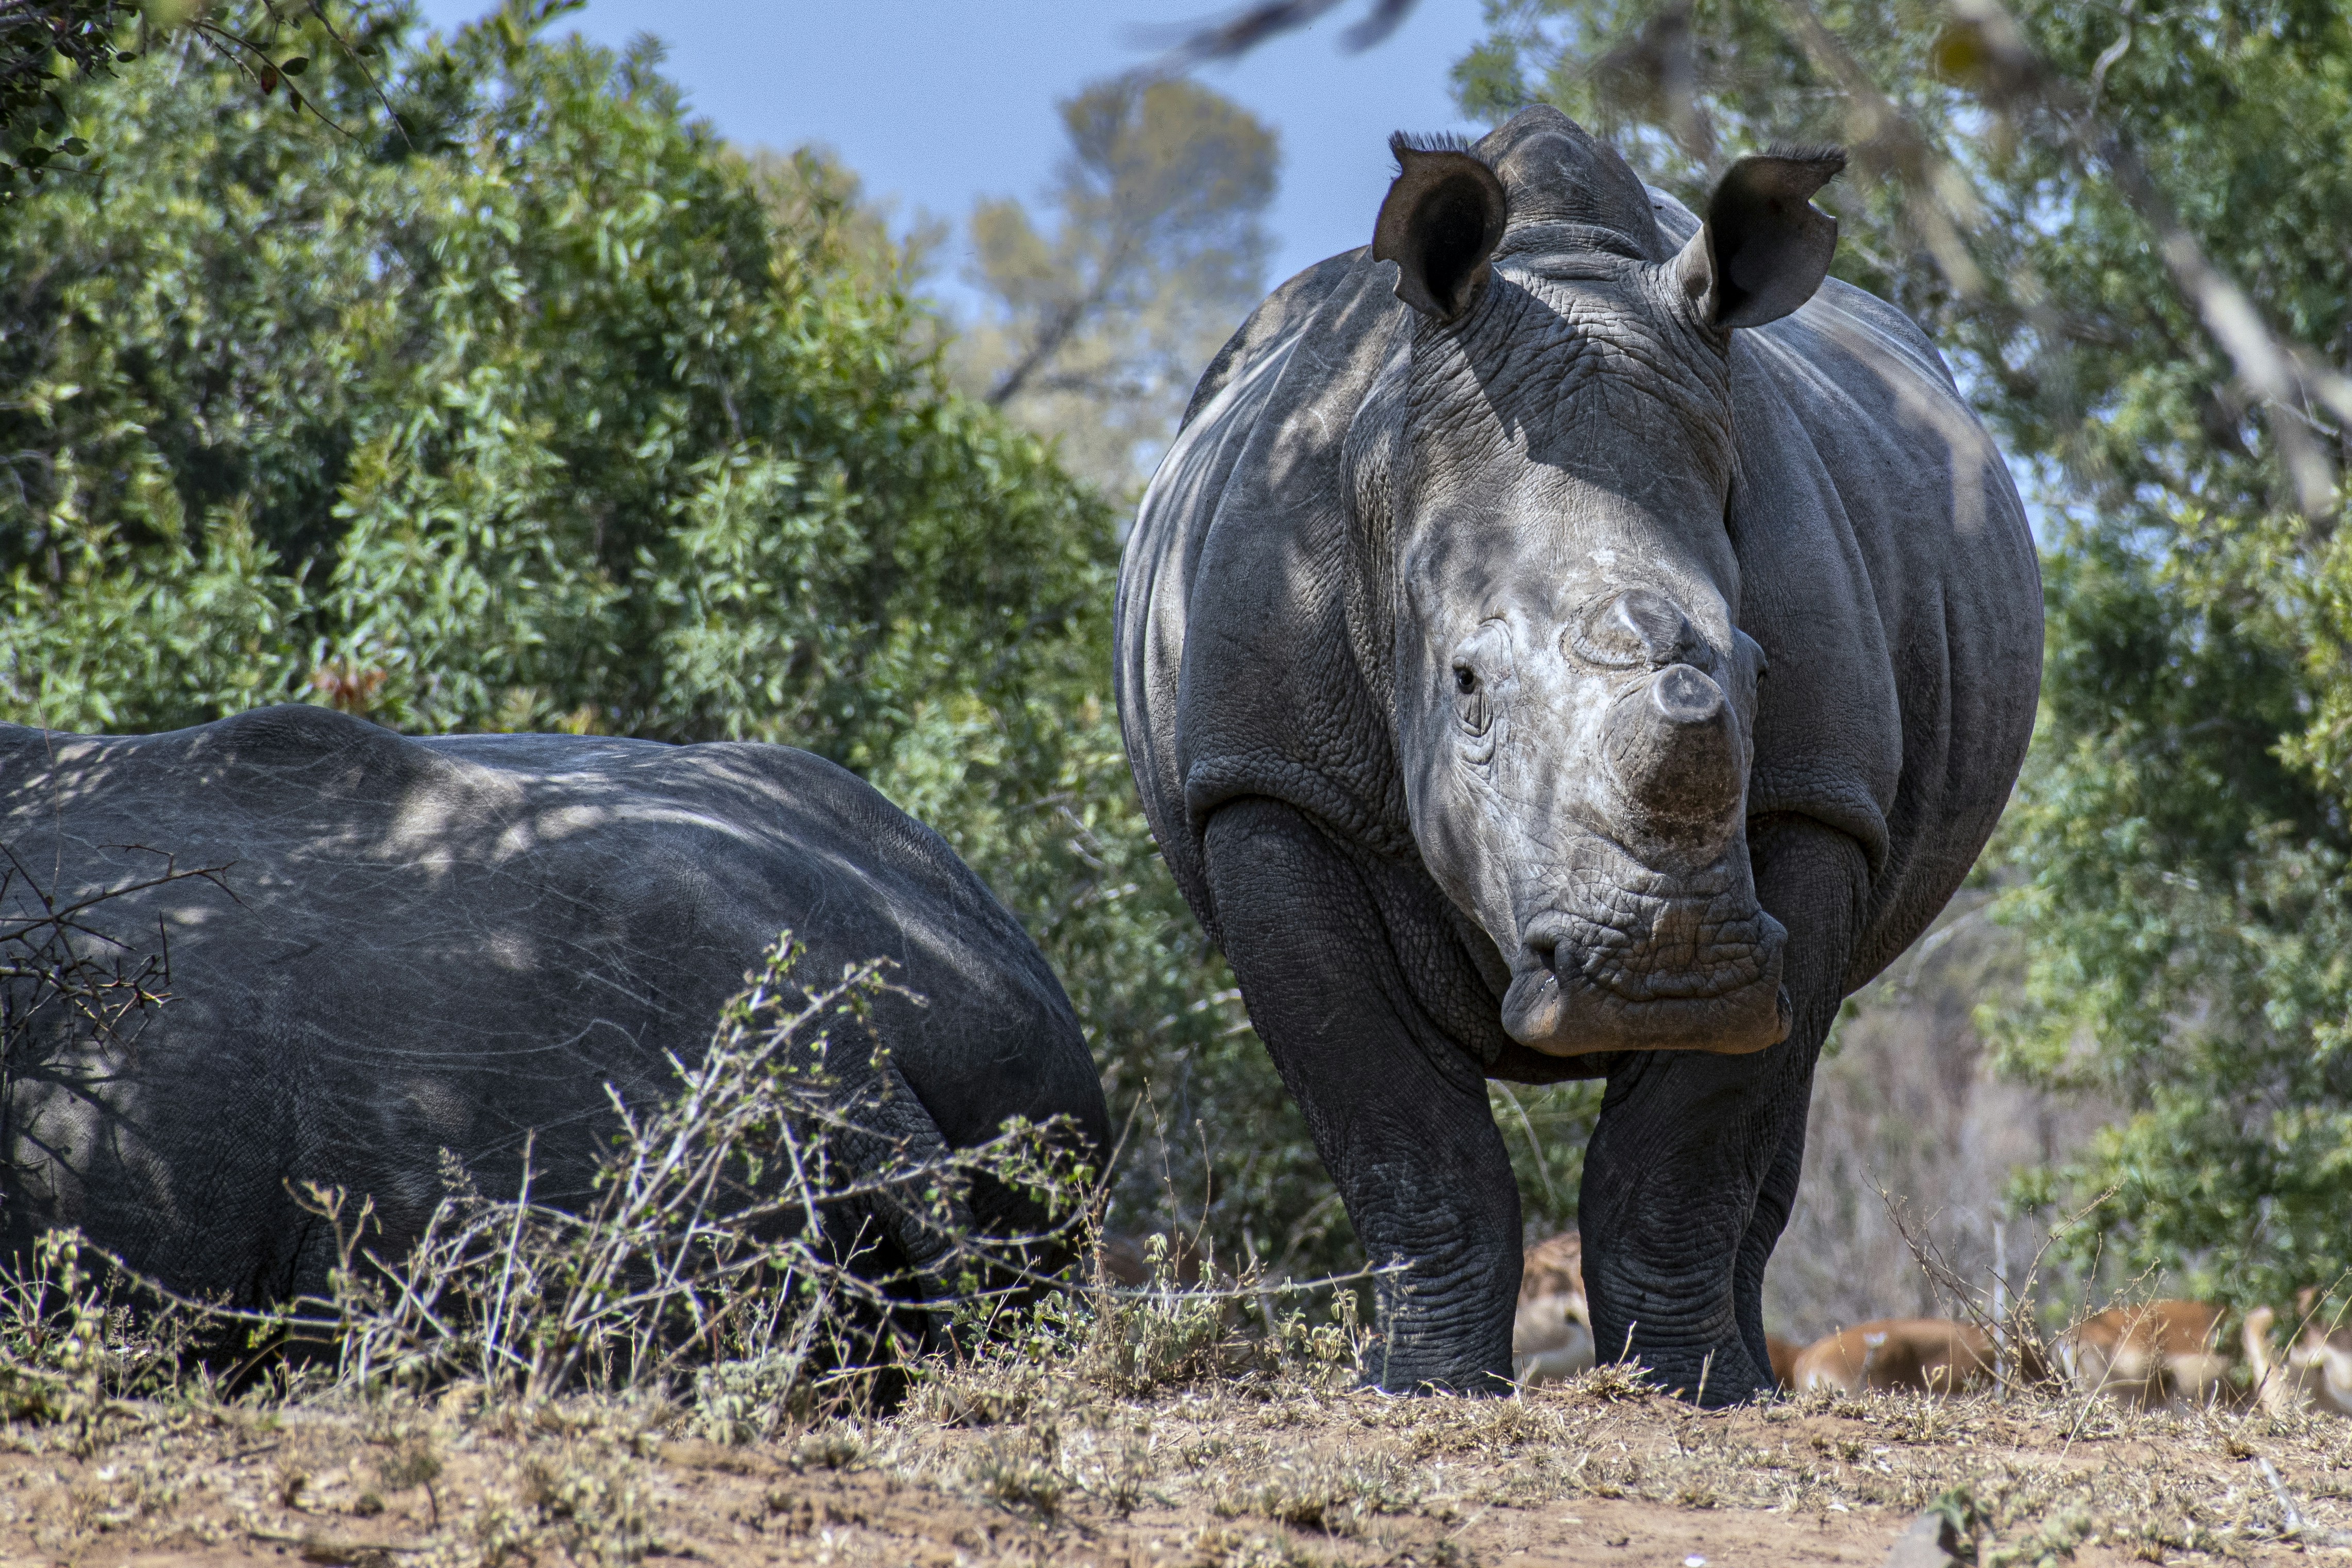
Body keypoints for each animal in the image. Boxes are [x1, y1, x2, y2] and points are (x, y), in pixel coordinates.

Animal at [1116, 106, 2041, 1400]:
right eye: (1465, 688)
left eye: (1759, 672)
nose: (1666, 971)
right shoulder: (1267, 787)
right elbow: (1398, 1128)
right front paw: (1420, 1387)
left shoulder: (1818, 801)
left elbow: (1691, 1139)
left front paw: (1698, 1391)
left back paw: (1750, 1368)